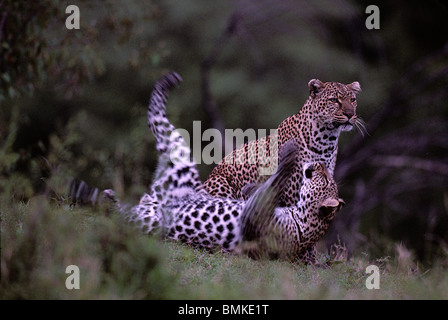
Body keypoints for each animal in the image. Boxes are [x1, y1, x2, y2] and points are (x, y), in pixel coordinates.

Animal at [94, 72, 344, 264]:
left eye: (326, 179)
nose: (319, 165)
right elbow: (263, 187)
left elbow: (273, 185)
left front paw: (288, 159)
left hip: (175, 172)